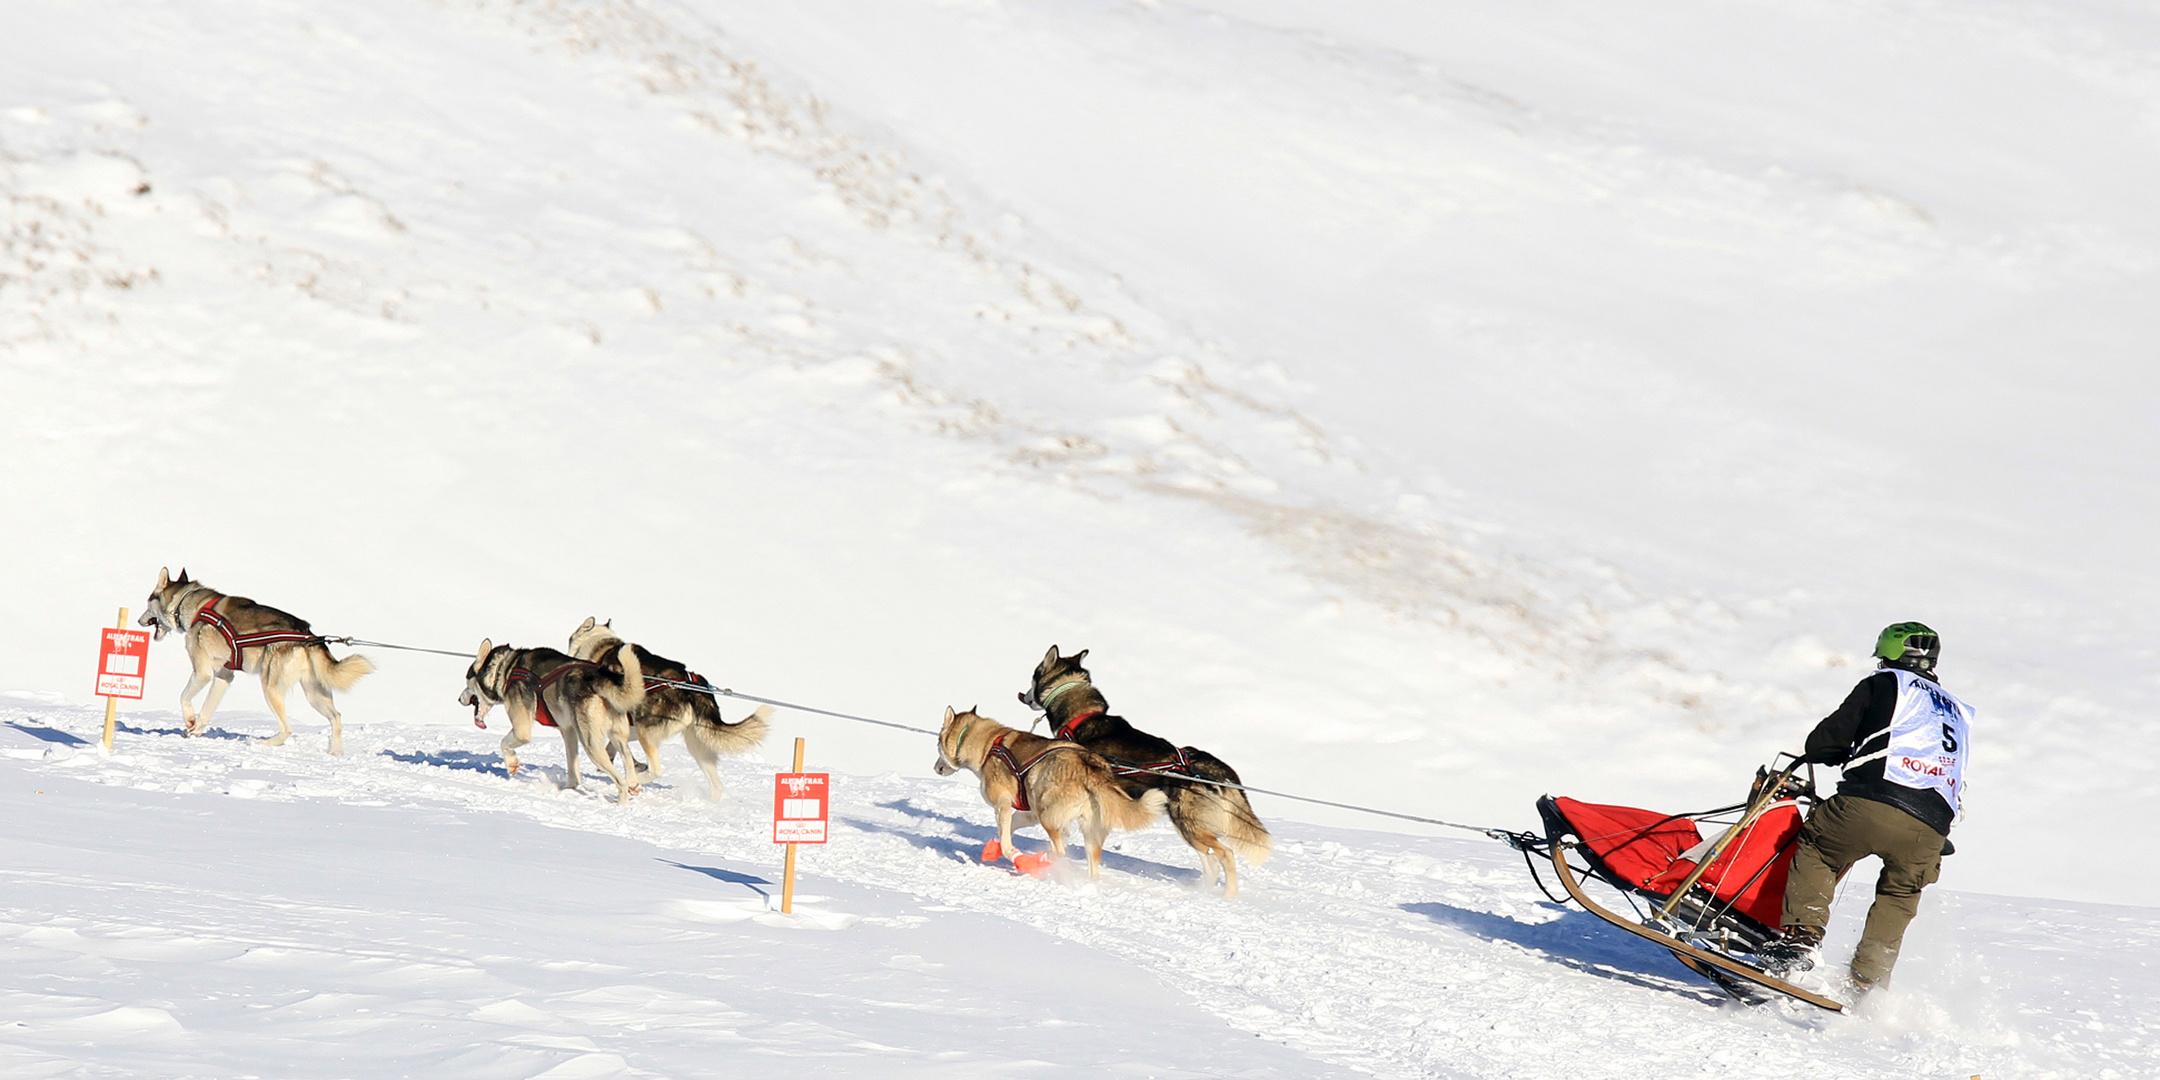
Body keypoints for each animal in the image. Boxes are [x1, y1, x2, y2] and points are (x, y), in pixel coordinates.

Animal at [139, 570, 375, 756]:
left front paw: (189, 721)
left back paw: (262, 744)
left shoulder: (202, 672)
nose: (139, 620)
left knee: (287, 728)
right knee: (336, 717)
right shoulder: (224, 676)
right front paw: (196, 729)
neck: (188, 604)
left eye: (148, 601)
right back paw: (335, 752)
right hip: (314, 693)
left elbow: (184, 698)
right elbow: (207, 709)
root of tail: (307, 634)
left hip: (270, 688)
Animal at [460, 635, 643, 807]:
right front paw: (569, 788)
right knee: (627, 758)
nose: (459, 699)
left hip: (592, 745)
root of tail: (600, 679)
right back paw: (634, 784)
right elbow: (573, 768)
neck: (505, 670)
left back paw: (622, 803)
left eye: (466, 681)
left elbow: (504, 743)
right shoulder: (568, 731)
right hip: (615, 736)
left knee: (620, 780)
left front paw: (512, 764)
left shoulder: (521, 730)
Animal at [570, 617, 773, 803]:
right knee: (717, 784)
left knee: (656, 770)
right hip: (696, 745)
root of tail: (693, 689)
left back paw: (634, 782)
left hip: (646, 730)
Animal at [928, 708, 1166, 876]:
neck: (989, 745)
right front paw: (992, 848)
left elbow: (1006, 840)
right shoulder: (1028, 812)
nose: (936, 768)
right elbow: (1008, 828)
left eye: (938, 741)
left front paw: (1011, 853)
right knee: (1089, 867)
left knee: (1058, 851)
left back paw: (1034, 862)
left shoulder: (1003, 804)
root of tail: (1090, 767)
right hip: (1088, 831)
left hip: (1048, 816)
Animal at [1019, 648, 1270, 894]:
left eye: (1033, 676)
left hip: (1190, 825)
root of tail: (1212, 767)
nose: (1023, 695)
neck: (1081, 716)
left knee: (1226, 855)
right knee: (1211, 864)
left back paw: (1229, 896)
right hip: (1190, 828)